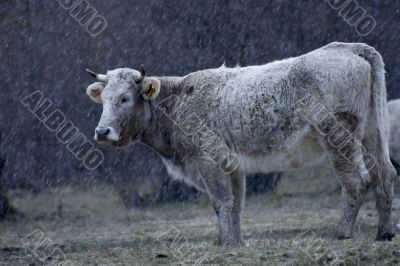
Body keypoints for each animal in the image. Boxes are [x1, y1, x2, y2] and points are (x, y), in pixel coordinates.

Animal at [85, 42, 396, 246]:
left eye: (125, 98)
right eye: (104, 99)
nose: (102, 131)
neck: (176, 101)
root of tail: (346, 48)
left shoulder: (208, 160)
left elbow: (221, 202)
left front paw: (225, 244)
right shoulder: (233, 167)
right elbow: (235, 205)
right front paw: (235, 242)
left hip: (338, 138)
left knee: (356, 181)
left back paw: (343, 233)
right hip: (373, 134)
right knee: (385, 176)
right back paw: (385, 233)